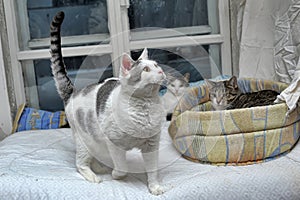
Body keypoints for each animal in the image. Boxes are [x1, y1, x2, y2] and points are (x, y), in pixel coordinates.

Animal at [50, 11, 165, 195]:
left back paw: (100, 167)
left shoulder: (151, 146)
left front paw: (154, 187)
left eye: (156, 65)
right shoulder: (114, 144)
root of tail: (73, 93)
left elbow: (152, 170)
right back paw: (94, 175)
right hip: (85, 142)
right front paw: (117, 175)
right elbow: (122, 166)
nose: (161, 71)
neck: (145, 107)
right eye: (146, 70)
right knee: (80, 164)